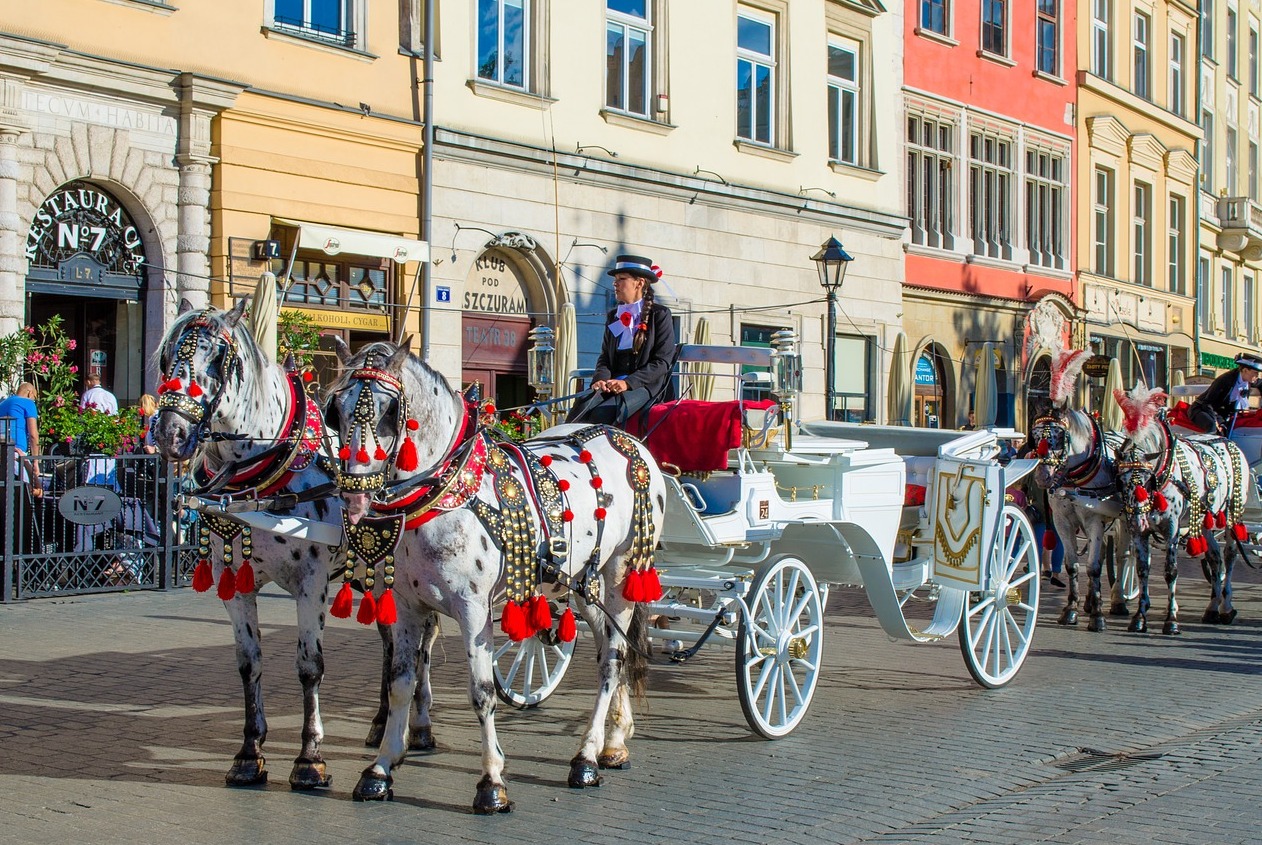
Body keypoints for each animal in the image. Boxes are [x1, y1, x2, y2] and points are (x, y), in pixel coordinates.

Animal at [150, 300, 433, 790]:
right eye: (167, 356)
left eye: (218, 359)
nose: (170, 434)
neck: (261, 474)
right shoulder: (233, 582)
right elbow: (249, 662)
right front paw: (249, 753)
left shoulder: (311, 582)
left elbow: (309, 666)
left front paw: (309, 758)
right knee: (391, 643)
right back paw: (382, 722)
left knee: (420, 645)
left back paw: (418, 726)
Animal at [323, 339, 666, 813]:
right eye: (334, 410)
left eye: (390, 410)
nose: (354, 494)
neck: (444, 491)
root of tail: (631, 441)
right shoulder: (408, 607)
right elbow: (400, 684)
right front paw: (381, 768)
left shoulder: (472, 609)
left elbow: (482, 692)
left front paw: (492, 782)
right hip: (586, 582)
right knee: (610, 651)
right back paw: (614, 742)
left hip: (622, 572)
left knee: (613, 659)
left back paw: (586, 757)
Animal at [1030, 407, 1131, 632]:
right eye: (1034, 435)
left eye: (1060, 436)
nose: (1042, 476)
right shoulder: (1062, 522)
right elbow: (1072, 565)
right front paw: (1071, 609)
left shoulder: (1095, 521)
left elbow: (1093, 567)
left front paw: (1097, 617)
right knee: (1101, 553)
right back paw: (1089, 601)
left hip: (1124, 521)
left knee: (1124, 557)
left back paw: (1118, 600)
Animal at [1113, 386, 1248, 635]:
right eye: (1121, 480)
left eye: (1147, 481)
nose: (1137, 522)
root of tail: (1228, 441)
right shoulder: (1140, 532)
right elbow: (1143, 569)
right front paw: (1139, 617)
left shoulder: (1172, 528)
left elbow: (1171, 571)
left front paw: (1171, 619)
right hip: (1204, 522)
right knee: (1215, 558)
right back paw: (1212, 609)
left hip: (1233, 516)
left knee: (1230, 556)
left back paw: (1226, 606)